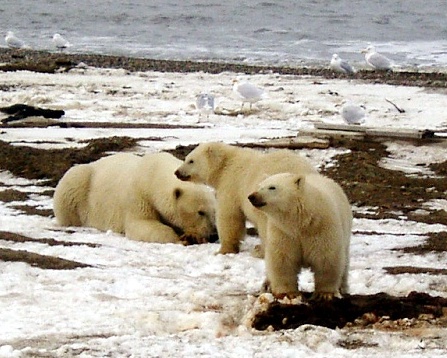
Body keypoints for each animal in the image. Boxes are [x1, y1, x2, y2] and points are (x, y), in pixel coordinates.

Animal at [53, 152, 218, 245]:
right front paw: (181, 239)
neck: (154, 175)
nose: (213, 235)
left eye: (214, 212)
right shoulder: (139, 195)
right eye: (200, 212)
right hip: (80, 184)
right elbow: (141, 224)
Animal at [173, 141, 316, 256]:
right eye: (186, 158)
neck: (226, 164)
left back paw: (260, 251)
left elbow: (230, 216)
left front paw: (223, 250)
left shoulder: (232, 184)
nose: (177, 172)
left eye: (191, 161)